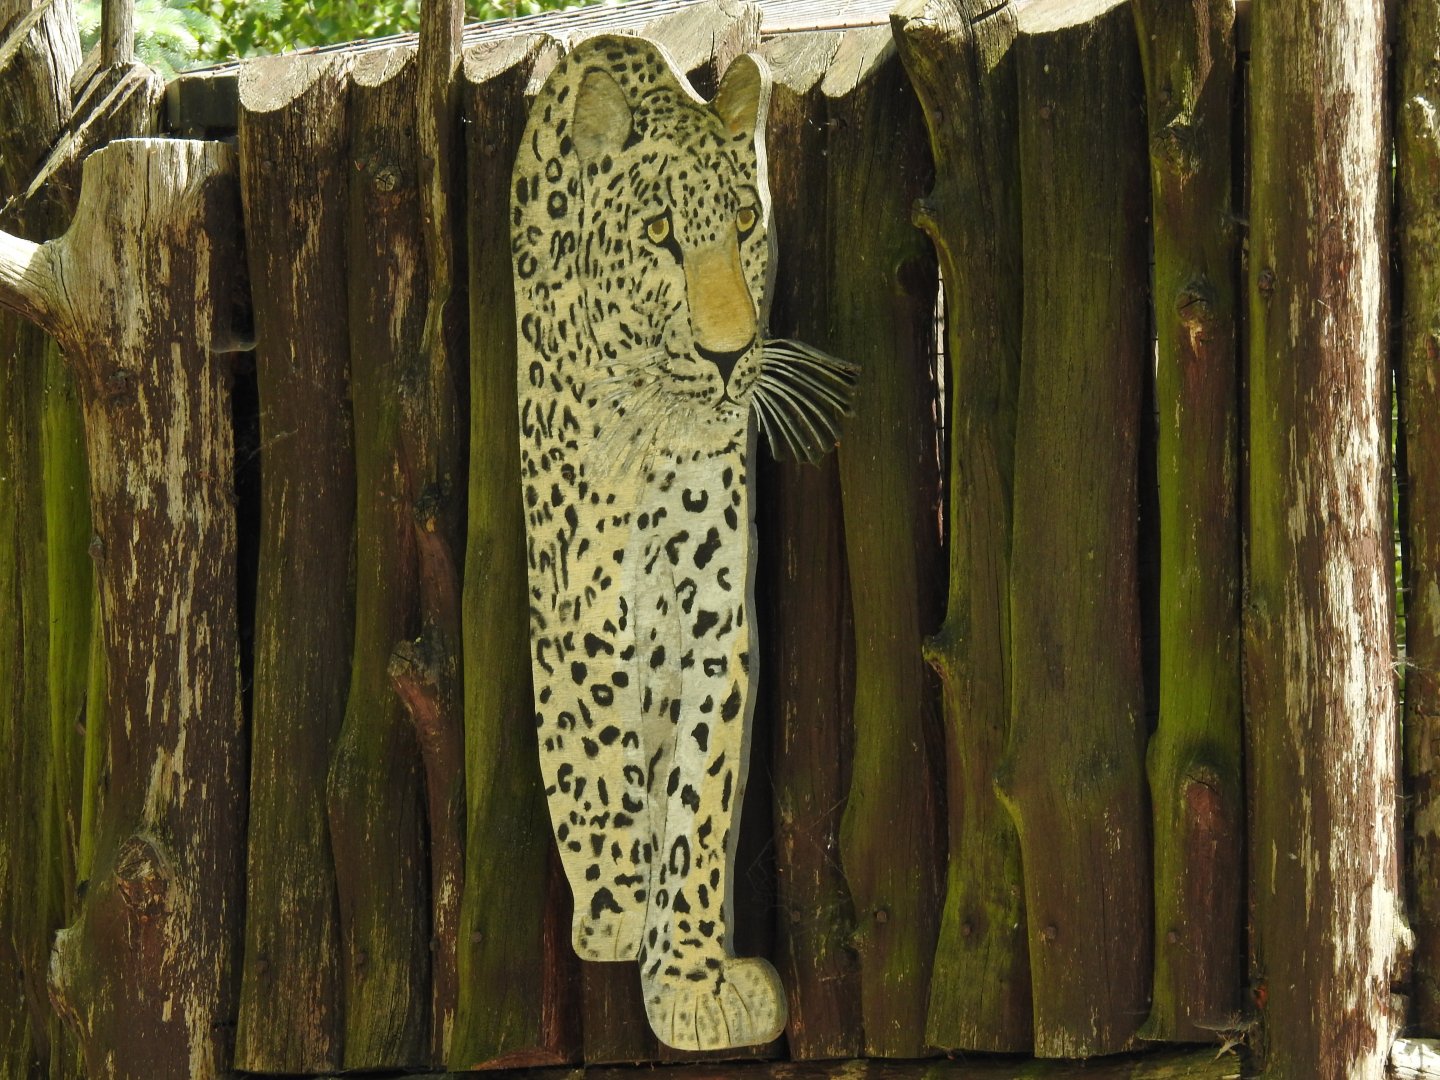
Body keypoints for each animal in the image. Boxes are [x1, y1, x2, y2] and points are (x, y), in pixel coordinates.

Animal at [511, 33, 857, 1052]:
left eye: (744, 220)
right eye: (661, 231)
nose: (731, 355)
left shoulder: (717, 601)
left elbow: (704, 789)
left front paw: (693, 978)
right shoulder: (583, 588)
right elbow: (602, 747)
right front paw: (623, 908)